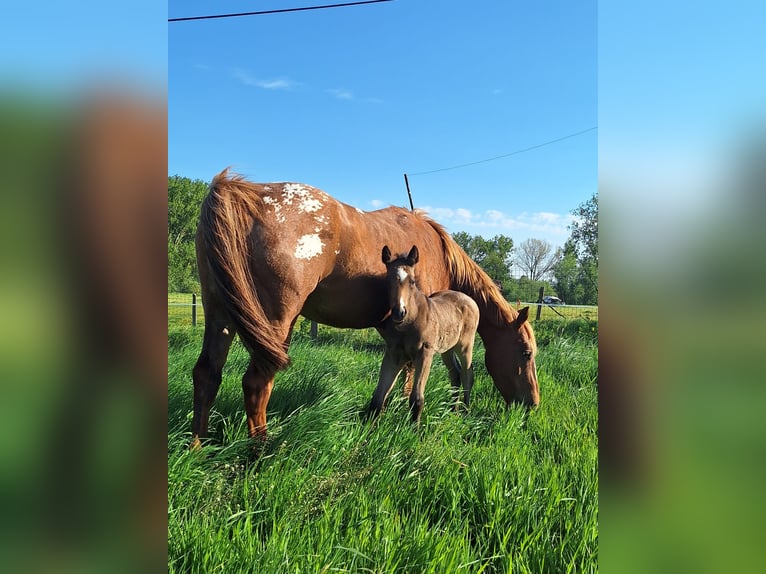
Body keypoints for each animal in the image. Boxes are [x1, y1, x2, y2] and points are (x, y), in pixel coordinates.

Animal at [370, 245, 480, 423]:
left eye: (412, 281)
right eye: (387, 280)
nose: (399, 312)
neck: (409, 322)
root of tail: (470, 300)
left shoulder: (425, 353)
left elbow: (416, 399)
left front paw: (414, 428)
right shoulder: (394, 354)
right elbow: (378, 398)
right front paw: (368, 427)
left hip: (465, 346)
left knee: (467, 375)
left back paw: (465, 411)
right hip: (446, 348)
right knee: (455, 373)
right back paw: (453, 409)